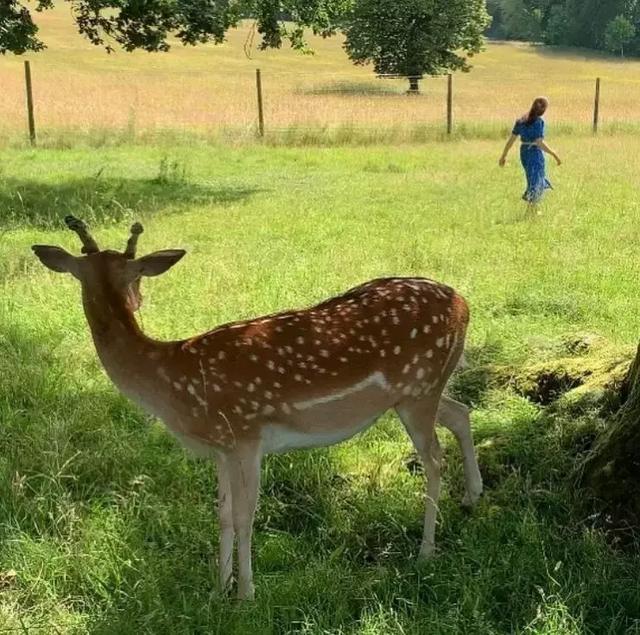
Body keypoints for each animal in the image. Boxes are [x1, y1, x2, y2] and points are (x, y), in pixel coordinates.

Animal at [30, 217, 480, 600]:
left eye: (137, 273)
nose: (137, 300)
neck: (174, 382)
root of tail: (463, 302)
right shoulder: (221, 448)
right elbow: (223, 514)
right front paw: (217, 589)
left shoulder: (246, 431)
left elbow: (246, 514)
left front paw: (245, 593)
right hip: (416, 392)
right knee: (461, 412)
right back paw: (471, 497)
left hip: (419, 387)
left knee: (434, 459)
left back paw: (426, 551)